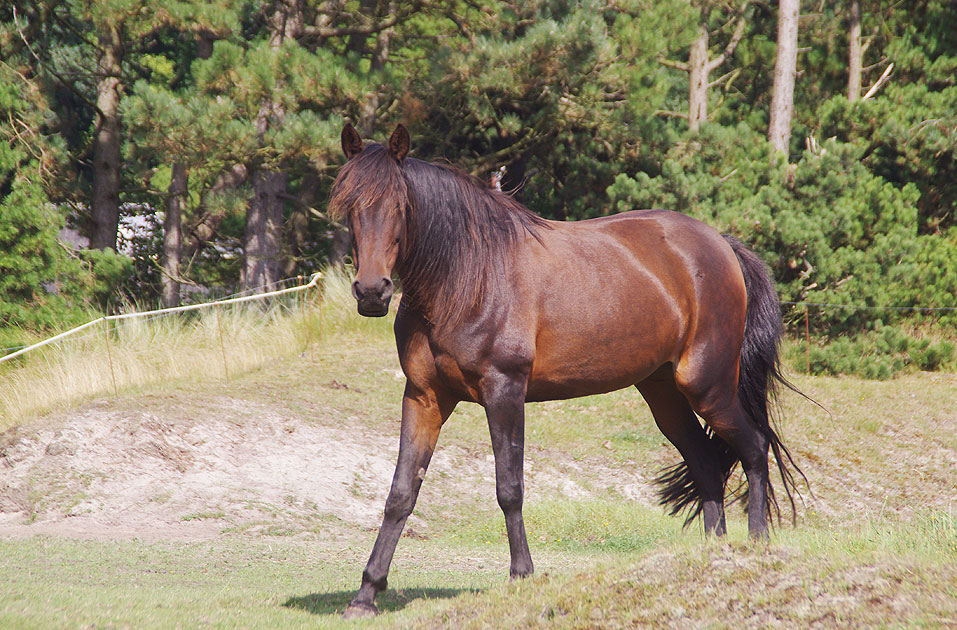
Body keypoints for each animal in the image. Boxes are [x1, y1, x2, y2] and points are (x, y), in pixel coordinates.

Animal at [328, 122, 808, 616]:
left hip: (708, 387)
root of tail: (722, 246)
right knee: (707, 463)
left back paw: (757, 545)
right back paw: (712, 554)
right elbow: (401, 493)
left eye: (400, 207)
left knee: (754, 448)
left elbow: (509, 487)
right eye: (349, 206)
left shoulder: (504, 392)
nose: (372, 292)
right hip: (664, 395)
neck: (468, 278)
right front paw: (366, 593)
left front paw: (522, 575)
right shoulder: (424, 397)